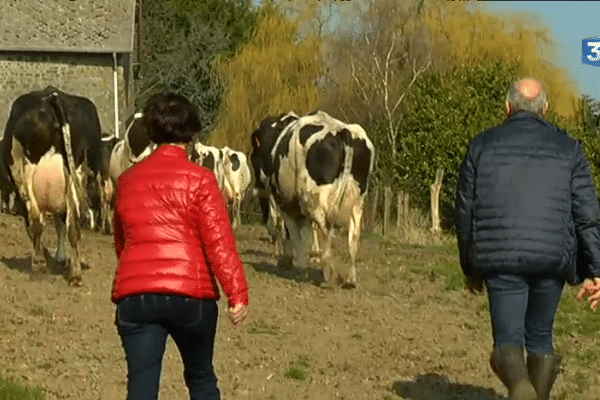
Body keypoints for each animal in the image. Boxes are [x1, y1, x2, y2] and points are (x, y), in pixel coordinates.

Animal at [0, 85, 109, 284]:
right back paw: (75, 273)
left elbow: (34, 224)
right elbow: (60, 224)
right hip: (76, 172)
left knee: (37, 220)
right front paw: (61, 257)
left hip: (27, 171)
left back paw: (38, 266)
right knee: (73, 223)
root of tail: (54, 97)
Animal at [250, 110, 372, 288]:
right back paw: (350, 279)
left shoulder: (284, 201)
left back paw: (329, 275)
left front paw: (293, 262)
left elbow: (290, 231)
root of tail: (343, 131)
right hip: (357, 203)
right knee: (353, 236)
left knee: (325, 229)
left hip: (316, 201)